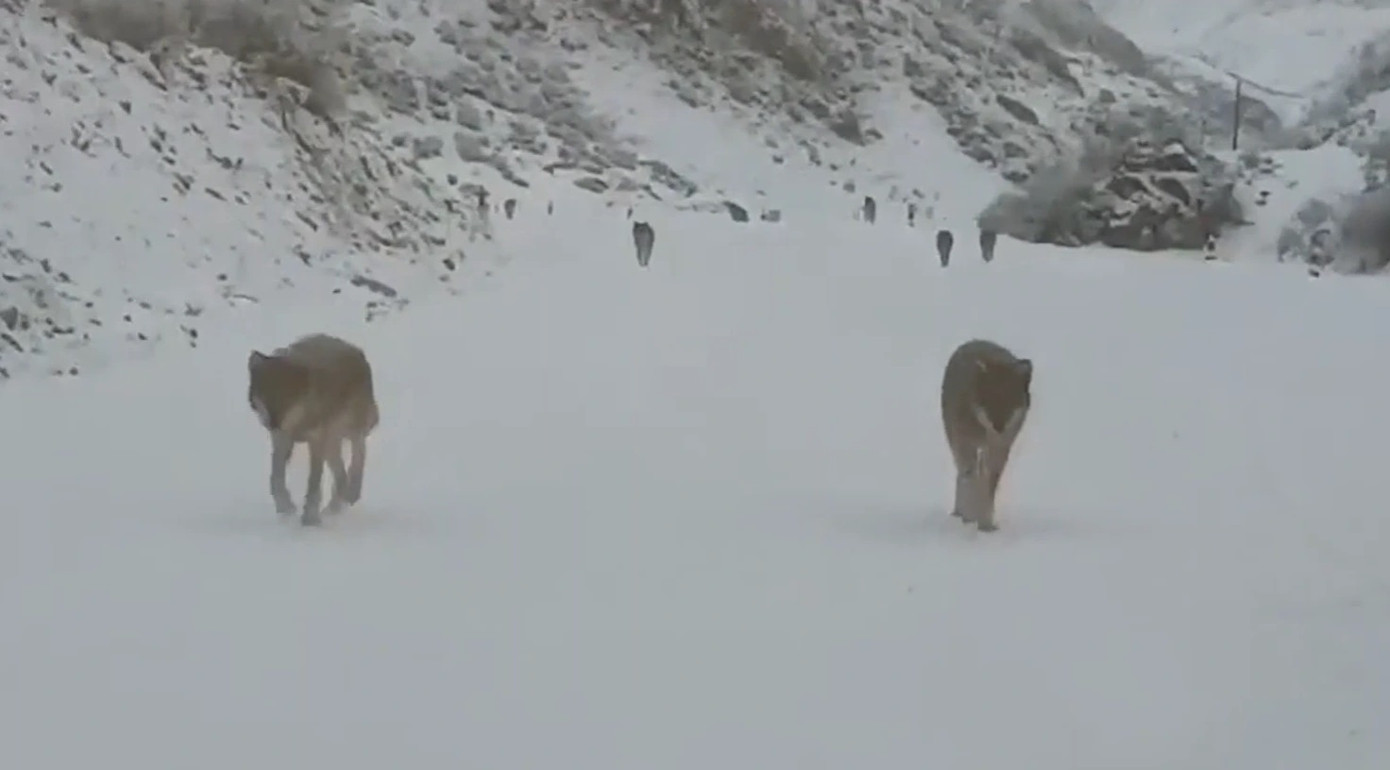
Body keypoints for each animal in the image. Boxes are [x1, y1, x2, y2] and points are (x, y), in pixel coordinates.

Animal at [247, 333, 380, 526]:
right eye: (266, 396)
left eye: (288, 399)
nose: (272, 423)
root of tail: (357, 351)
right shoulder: (281, 439)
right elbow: (276, 478)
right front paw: (285, 508)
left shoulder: (316, 440)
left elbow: (313, 483)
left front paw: (310, 519)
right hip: (332, 442)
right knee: (340, 474)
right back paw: (336, 505)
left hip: (350, 430)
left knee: (359, 454)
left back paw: (351, 494)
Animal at [939, 339, 1032, 532]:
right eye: (989, 401)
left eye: (1010, 402)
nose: (999, 427)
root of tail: (974, 341)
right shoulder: (965, 444)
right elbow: (971, 479)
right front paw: (971, 518)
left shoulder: (1000, 449)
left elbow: (989, 486)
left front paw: (986, 524)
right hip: (955, 441)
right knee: (962, 473)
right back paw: (960, 514)